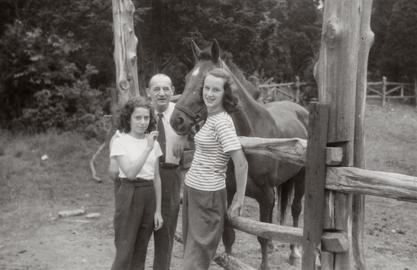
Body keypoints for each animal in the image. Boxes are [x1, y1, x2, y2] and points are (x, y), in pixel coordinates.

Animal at [170, 40, 308, 270]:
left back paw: (294, 252)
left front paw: (265, 264)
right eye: (187, 78)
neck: (249, 139)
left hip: (301, 178)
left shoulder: (266, 195)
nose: (176, 121)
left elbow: (261, 234)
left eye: (204, 83)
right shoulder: (230, 190)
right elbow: (229, 235)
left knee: (296, 210)